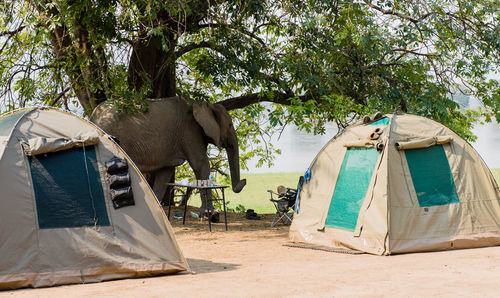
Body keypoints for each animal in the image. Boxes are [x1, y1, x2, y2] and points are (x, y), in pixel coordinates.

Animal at [91, 96, 247, 212]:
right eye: (230, 125)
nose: (244, 181)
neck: (204, 106)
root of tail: (93, 116)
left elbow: (165, 173)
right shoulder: (190, 131)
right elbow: (201, 164)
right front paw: (210, 212)